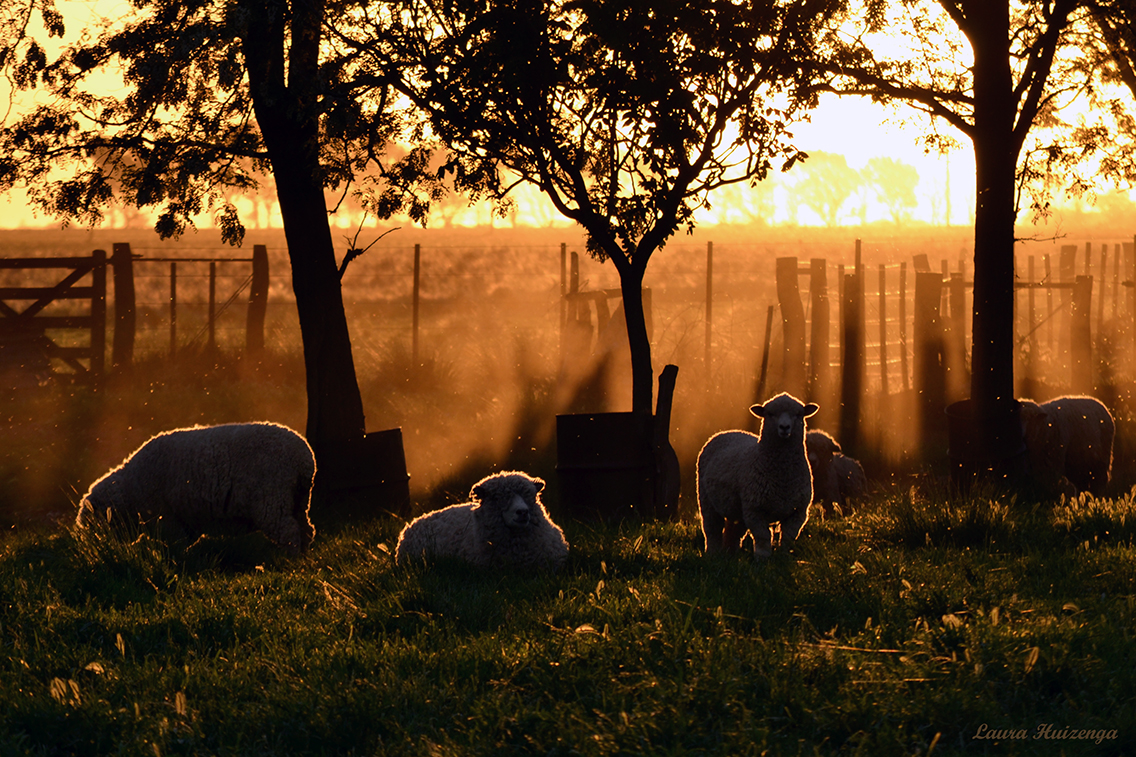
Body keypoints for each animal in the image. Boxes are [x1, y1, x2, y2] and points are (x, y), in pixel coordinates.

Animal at [75, 420, 315, 552]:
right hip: (297, 500)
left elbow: (175, 545)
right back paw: (303, 559)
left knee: (288, 531)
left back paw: (289, 561)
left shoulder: (167, 517)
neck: (131, 489)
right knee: (306, 530)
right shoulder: (184, 519)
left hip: (272, 499)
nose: (95, 548)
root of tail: (304, 459)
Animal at [695, 391, 822, 556]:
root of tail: (726, 432)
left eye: (798, 414)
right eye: (770, 414)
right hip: (706, 499)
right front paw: (763, 558)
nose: (784, 427)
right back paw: (713, 554)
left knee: (733, 531)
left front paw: (784, 556)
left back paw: (731, 554)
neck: (783, 477)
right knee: (712, 529)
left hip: (736, 507)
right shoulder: (755, 511)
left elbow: (788, 538)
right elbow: (763, 537)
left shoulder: (798, 512)